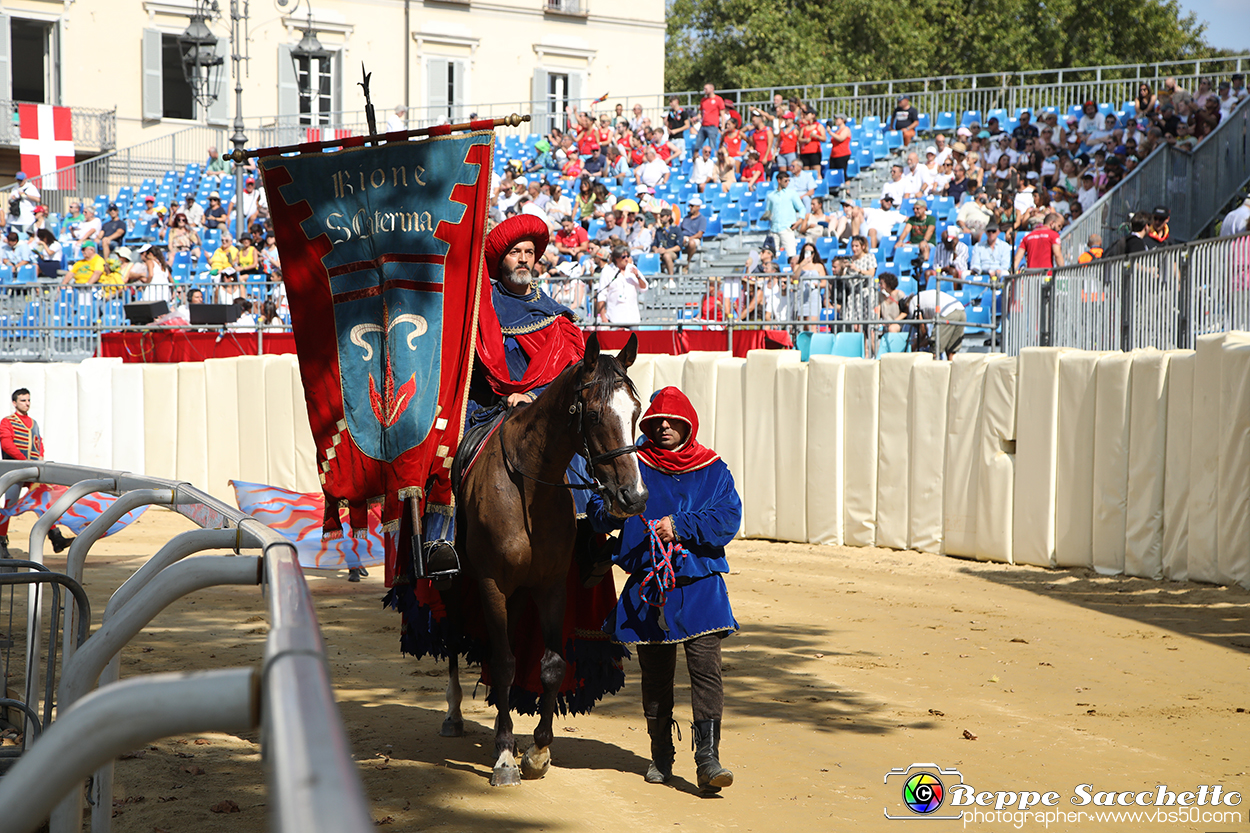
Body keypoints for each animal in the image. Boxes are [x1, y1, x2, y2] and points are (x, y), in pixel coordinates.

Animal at [445, 332, 650, 785]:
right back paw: (454, 713)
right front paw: (506, 756)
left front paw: (537, 751)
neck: (528, 488)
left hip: (520, 593)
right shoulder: (491, 583)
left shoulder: (551, 584)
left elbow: (551, 665)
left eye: (637, 410)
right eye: (594, 415)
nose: (634, 497)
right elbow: (504, 662)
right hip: (453, 579)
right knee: (450, 635)